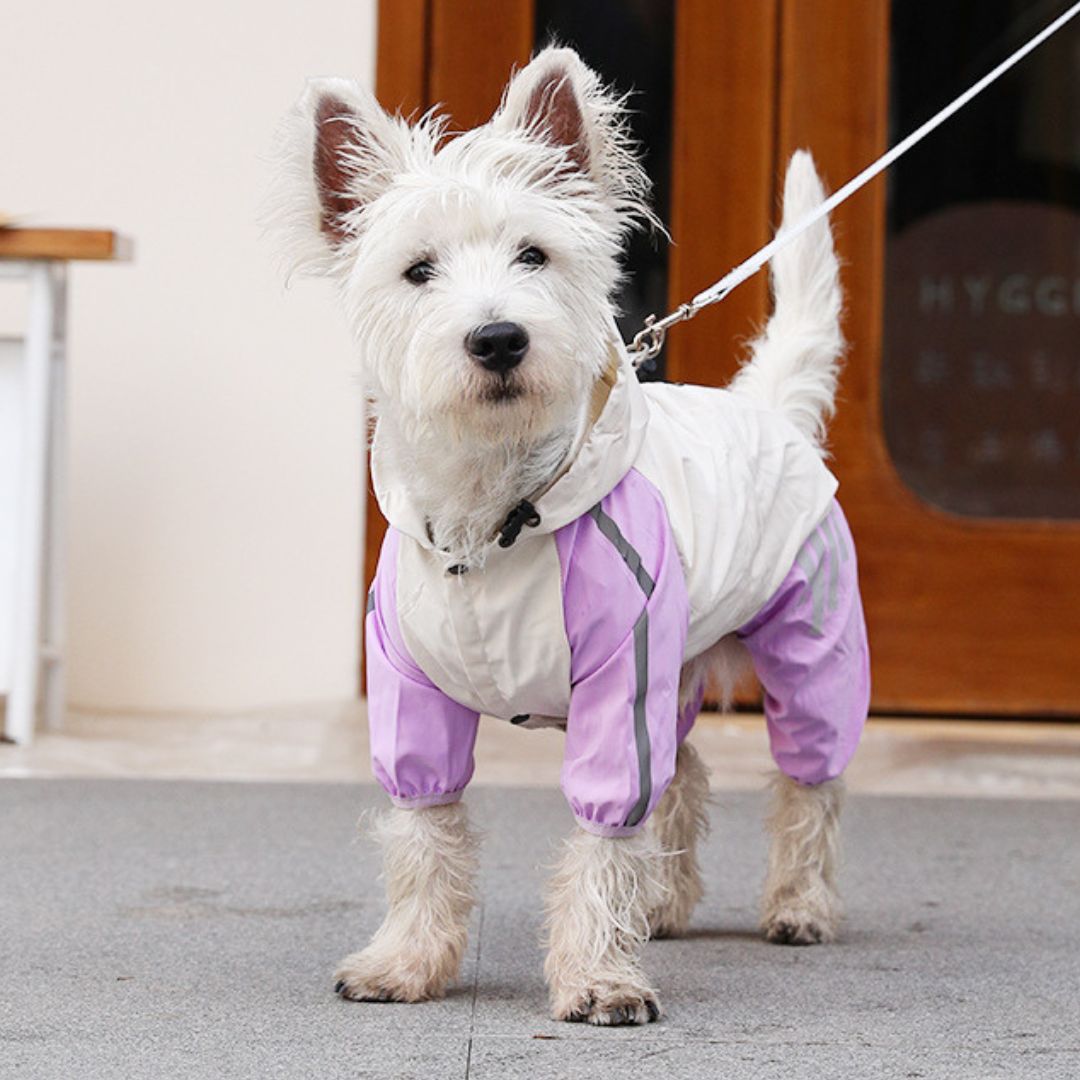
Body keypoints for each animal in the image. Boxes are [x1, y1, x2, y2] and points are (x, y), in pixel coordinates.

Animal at [270, 46, 868, 1028]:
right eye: (418, 270)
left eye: (533, 254)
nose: (498, 338)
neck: (491, 520)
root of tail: (764, 407)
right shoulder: (406, 686)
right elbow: (426, 831)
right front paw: (405, 961)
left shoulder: (623, 666)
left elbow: (605, 826)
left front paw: (596, 976)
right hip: (682, 657)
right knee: (685, 771)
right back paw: (663, 906)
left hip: (811, 637)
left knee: (808, 780)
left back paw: (801, 905)